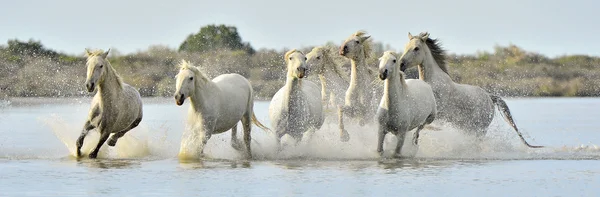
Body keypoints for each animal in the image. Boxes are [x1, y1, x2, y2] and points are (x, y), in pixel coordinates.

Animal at [398, 31, 544, 148]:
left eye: (416, 48)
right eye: (405, 47)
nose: (401, 64)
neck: (433, 83)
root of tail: (489, 97)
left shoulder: (437, 113)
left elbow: (423, 125)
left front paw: (415, 139)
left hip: (479, 130)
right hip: (469, 128)